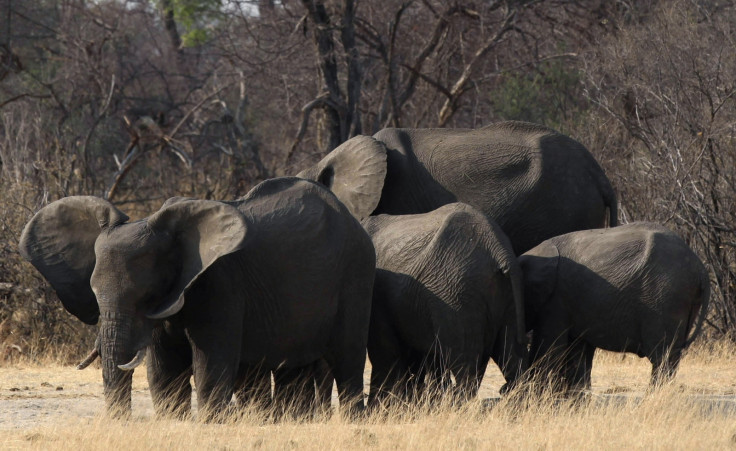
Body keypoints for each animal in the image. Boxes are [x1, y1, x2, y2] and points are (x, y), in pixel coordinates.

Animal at [18, 177, 374, 420]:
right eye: (94, 292)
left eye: (144, 295)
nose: (122, 423)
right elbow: (164, 369)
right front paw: (174, 421)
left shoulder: (218, 284)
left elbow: (209, 364)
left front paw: (209, 424)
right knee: (293, 365)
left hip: (356, 274)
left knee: (348, 358)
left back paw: (352, 419)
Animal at [364, 203, 528, 408]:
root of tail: (499, 251)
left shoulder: (378, 295)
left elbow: (385, 354)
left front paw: (378, 409)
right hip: (505, 296)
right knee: (513, 357)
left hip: (456, 295)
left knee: (464, 366)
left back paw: (456, 407)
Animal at [520, 222, 712, 392]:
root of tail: (701, 269)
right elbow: (578, 352)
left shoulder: (555, 301)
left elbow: (547, 349)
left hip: (665, 296)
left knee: (662, 357)